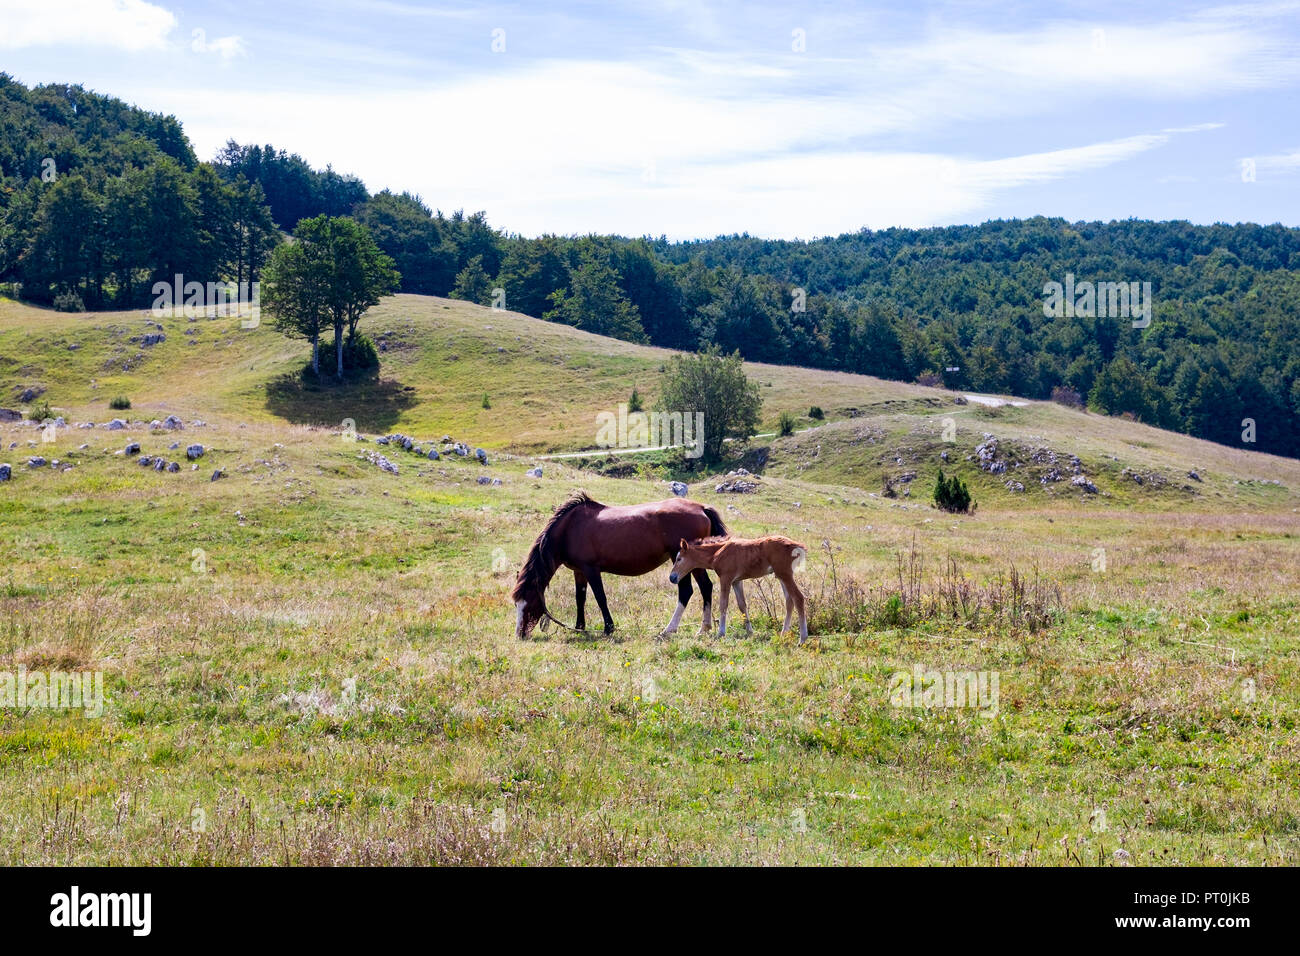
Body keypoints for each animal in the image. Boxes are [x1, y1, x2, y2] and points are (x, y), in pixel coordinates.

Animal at [512, 494, 728, 642]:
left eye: (529, 602)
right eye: (516, 604)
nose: (520, 635)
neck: (569, 529)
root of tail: (701, 508)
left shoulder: (591, 570)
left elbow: (600, 597)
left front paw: (608, 628)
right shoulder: (579, 571)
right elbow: (580, 598)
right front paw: (580, 627)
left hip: (684, 561)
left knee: (686, 591)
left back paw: (669, 630)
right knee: (706, 587)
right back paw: (704, 628)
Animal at [665, 538, 806, 642]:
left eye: (679, 559)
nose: (672, 577)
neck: (718, 552)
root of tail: (796, 546)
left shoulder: (726, 578)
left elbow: (723, 604)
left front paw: (721, 633)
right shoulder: (736, 581)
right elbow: (742, 605)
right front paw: (750, 631)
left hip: (785, 574)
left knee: (798, 598)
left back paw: (802, 638)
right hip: (781, 575)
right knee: (789, 601)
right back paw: (783, 633)